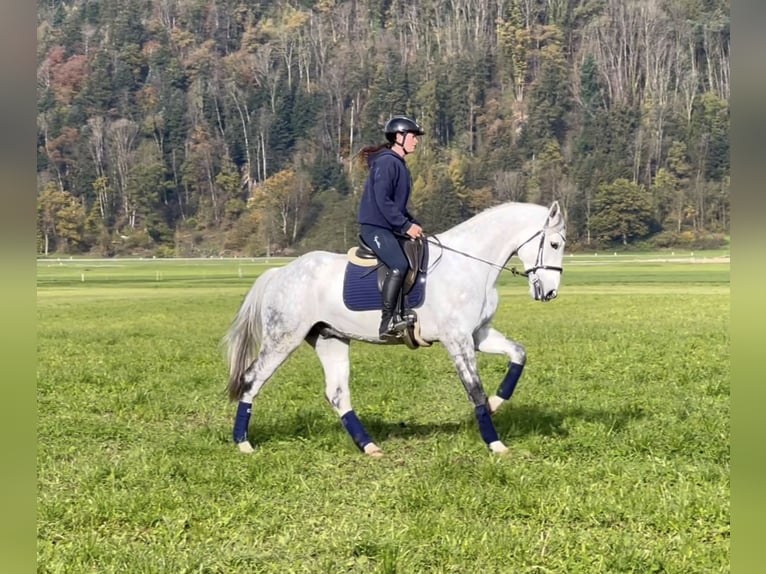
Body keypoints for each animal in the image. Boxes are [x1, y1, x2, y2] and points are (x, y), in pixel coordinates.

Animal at [225, 202, 568, 460]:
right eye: (554, 244)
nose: (550, 292)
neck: (470, 266)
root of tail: (280, 272)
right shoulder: (457, 339)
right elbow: (475, 390)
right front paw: (495, 443)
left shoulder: (478, 335)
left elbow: (519, 355)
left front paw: (497, 404)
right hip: (283, 338)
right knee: (252, 379)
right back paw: (243, 443)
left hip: (330, 338)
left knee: (337, 394)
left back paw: (369, 447)